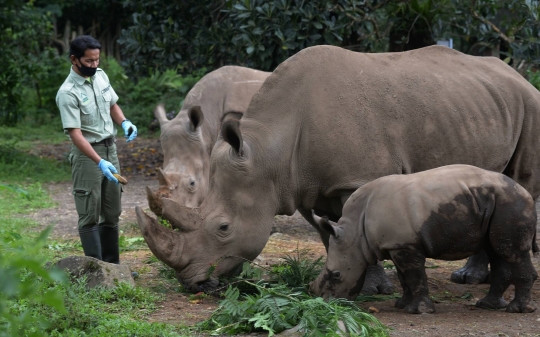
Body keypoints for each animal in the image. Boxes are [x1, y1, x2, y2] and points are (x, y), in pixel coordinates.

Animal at [310, 164, 536, 314]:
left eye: (336, 275)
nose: (325, 301)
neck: (355, 233)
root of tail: (524, 191)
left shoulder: (405, 245)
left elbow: (414, 276)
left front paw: (418, 310)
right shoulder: (397, 244)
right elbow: (404, 277)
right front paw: (401, 305)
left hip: (510, 204)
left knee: (511, 252)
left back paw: (517, 310)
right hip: (494, 202)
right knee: (497, 251)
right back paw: (487, 305)